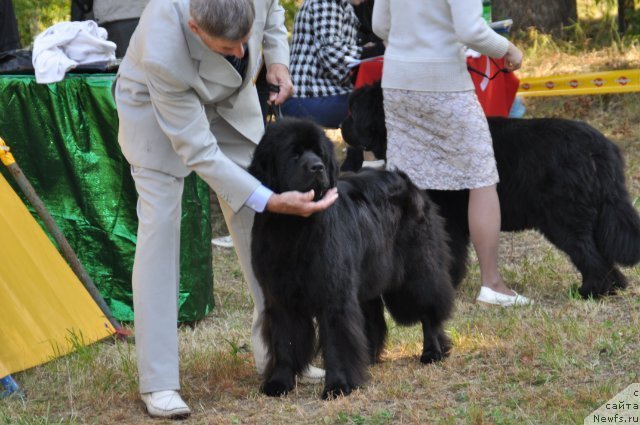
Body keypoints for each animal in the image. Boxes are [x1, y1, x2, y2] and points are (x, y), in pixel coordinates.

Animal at [248, 116, 452, 398]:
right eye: (294, 154)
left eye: (319, 153)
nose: (317, 167)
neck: (294, 227)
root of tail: (406, 180)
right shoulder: (279, 294)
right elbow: (284, 341)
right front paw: (279, 382)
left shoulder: (334, 292)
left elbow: (337, 339)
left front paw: (338, 385)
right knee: (373, 316)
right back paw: (369, 358)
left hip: (416, 270)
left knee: (429, 307)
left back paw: (432, 351)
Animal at [340, 81, 640, 296]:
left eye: (353, 111)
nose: (342, 126)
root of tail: (599, 148)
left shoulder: (448, 219)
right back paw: (612, 287)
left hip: (564, 217)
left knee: (587, 252)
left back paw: (591, 291)